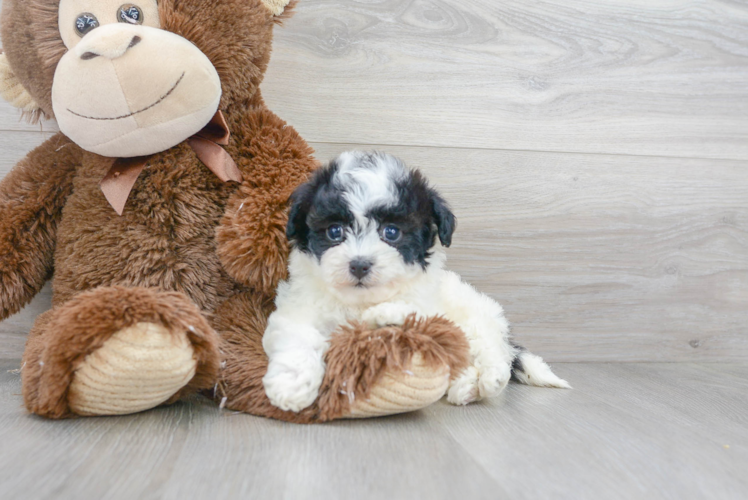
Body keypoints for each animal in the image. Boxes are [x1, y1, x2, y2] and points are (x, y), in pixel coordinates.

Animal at [260, 150, 568, 412]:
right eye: (334, 231)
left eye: (391, 232)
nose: (359, 264)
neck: (361, 302)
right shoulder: (298, 309)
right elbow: (298, 336)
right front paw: (291, 386)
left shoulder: (430, 306)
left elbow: (412, 311)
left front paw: (385, 315)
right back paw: (466, 386)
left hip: (476, 316)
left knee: (489, 350)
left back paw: (489, 379)